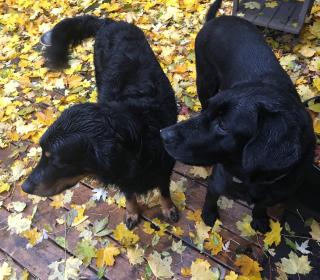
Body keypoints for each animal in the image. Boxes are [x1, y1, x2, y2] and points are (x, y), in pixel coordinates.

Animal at [21, 15, 179, 229]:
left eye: (57, 162)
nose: (25, 187)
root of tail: (108, 22)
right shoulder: (124, 177)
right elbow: (130, 194)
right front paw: (132, 212)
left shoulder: (164, 165)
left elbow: (164, 190)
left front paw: (168, 208)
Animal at [161, 0, 316, 232]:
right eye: (212, 113)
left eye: (224, 125)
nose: (163, 134)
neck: (254, 181)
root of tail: (216, 20)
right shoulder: (218, 181)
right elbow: (211, 197)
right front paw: (209, 215)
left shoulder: (274, 194)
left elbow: (261, 206)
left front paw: (259, 219)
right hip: (205, 82)